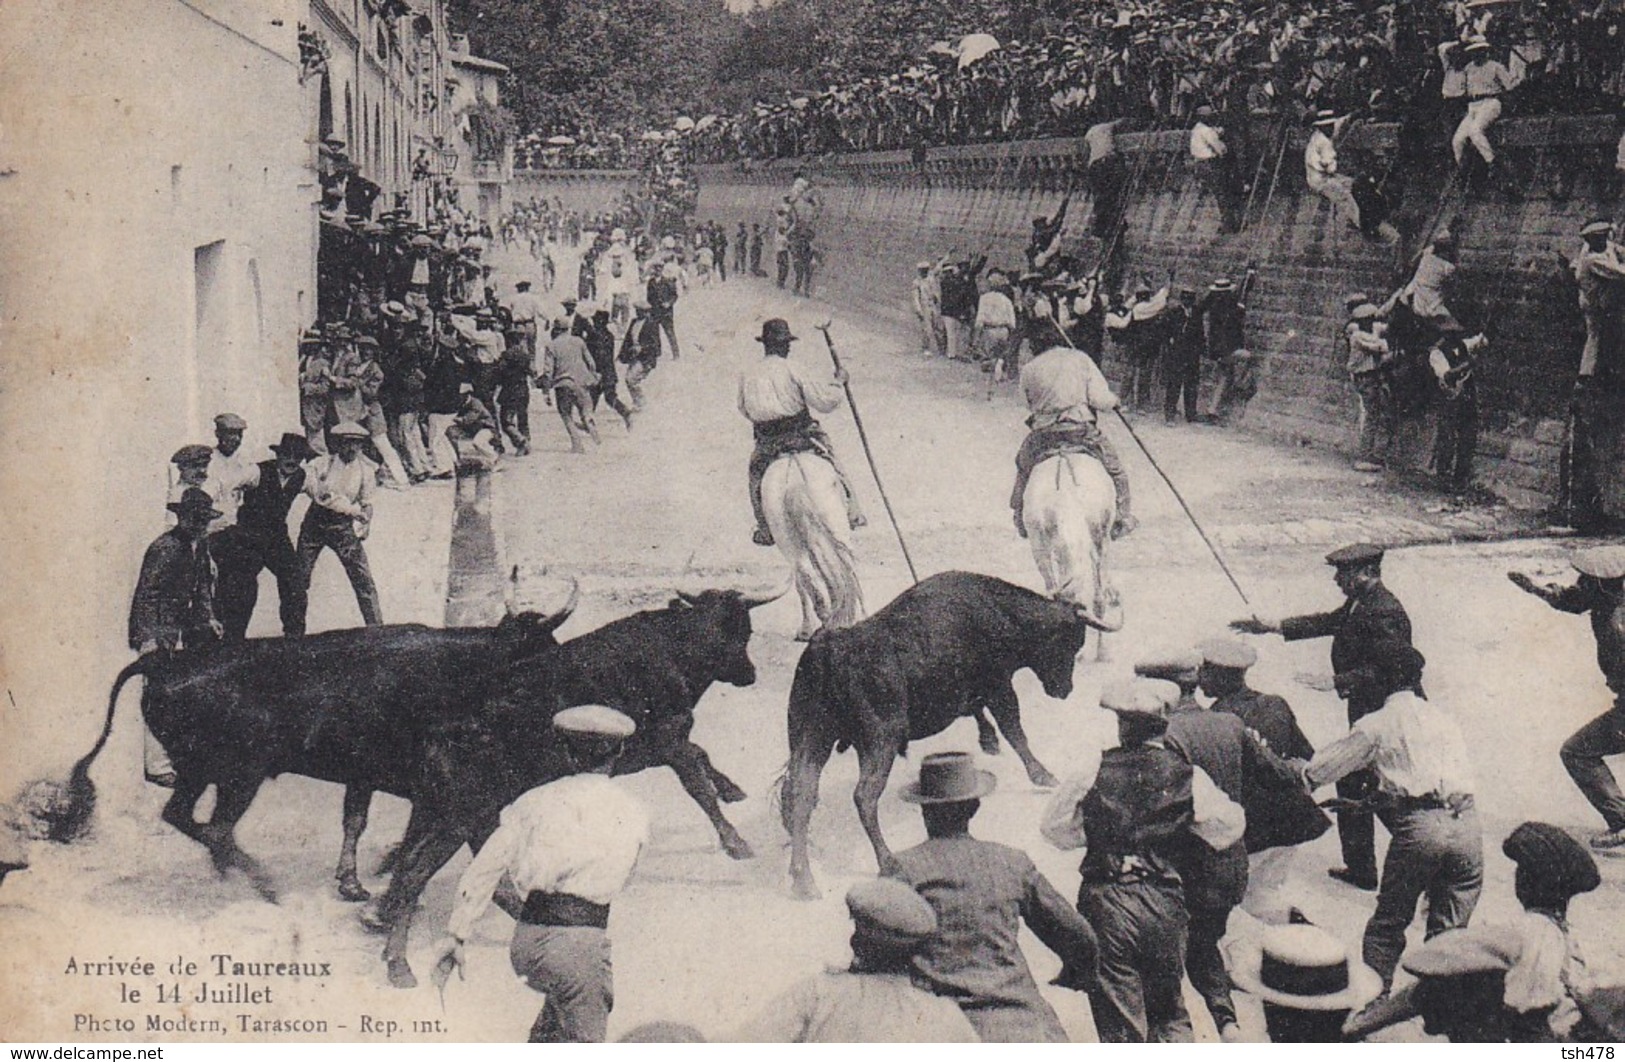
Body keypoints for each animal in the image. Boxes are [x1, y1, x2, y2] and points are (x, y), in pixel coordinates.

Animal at [52, 581, 786, 987]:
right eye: (738, 630)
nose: (750, 673)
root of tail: (163, 662)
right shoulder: (657, 742)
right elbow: (696, 773)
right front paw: (737, 839)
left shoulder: (405, 785)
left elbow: (379, 829)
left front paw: (366, 888)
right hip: (238, 772)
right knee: (215, 826)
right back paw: (263, 883)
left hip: (210, 771)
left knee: (186, 818)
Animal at [760, 451, 864, 639]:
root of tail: (794, 476)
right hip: (839, 532)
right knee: (845, 570)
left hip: (787, 540)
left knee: (805, 573)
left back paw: (822, 620)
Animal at [776, 571, 1105, 902]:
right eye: (1071, 642)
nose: (1065, 690)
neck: (1000, 612)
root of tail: (829, 649)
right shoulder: (999, 685)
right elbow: (1015, 731)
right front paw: (1044, 776)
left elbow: (979, 712)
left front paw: (989, 741)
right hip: (879, 741)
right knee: (864, 796)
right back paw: (888, 863)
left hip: (810, 737)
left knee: (800, 794)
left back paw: (803, 879)